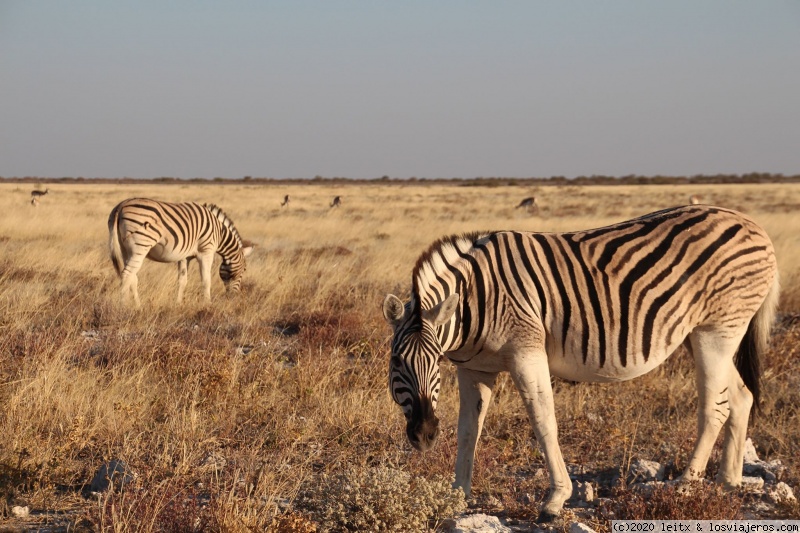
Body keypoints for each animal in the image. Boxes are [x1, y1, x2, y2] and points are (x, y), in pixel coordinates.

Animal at [108, 198, 253, 308]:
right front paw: (207, 304)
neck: (220, 233)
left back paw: (138, 306)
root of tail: (121, 206)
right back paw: (123, 307)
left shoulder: (185, 257)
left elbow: (182, 281)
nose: (233, 297)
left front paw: (178, 304)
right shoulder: (206, 251)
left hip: (126, 249)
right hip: (140, 246)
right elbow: (206, 280)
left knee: (132, 277)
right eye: (244, 269)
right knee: (127, 274)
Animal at [384, 206, 780, 520]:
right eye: (397, 362)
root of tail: (753, 224)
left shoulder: (527, 350)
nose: (423, 435)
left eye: (434, 362)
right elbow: (469, 430)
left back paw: (685, 485)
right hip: (699, 335)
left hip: (717, 331)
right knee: (740, 397)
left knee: (715, 406)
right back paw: (727, 483)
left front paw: (555, 499)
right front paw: (456, 496)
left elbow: (543, 421)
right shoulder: (474, 367)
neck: (475, 303)